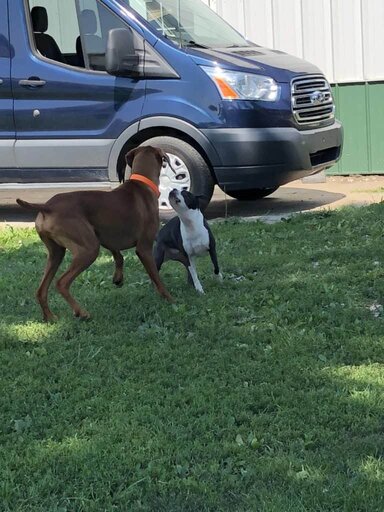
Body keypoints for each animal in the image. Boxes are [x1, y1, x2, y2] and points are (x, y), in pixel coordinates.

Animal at [16, 144, 172, 320]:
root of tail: (47, 206)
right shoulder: (144, 248)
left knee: (41, 290)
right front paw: (169, 298)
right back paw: (81, 312)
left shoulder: (105, 236)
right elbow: (156, 277)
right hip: (88, 249)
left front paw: (118, 278)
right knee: (61, 283)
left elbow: (119, 256)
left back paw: (50, 317)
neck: (142, 184)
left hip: (56, 253)